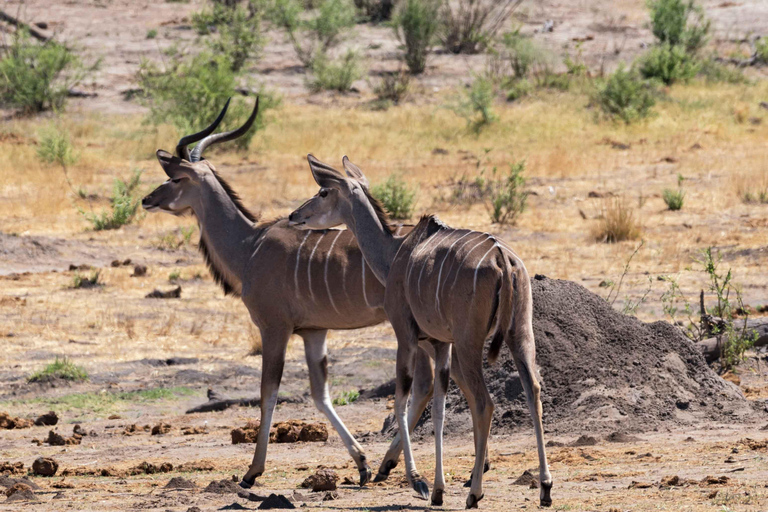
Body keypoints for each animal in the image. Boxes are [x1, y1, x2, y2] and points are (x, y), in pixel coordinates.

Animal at [138, 97, 464, 492]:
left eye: (175, 177)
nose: (147, 199)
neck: (250, 245)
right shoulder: (313, 332)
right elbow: (320, 394)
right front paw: (361, 464)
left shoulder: (273, 329)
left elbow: (268, 395)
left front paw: (252, 472)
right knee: (426, 385)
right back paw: (387, 467)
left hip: (411, 329)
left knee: (423, 384)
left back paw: (397, 468)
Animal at [288, 156, 552, 508]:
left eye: (323, 191)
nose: (294, 215)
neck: (394, 255)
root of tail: (503, 258)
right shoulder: (440, 344)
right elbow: (438, 407)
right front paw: (438, 488)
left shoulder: (406, 334)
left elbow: (403, 399)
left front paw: (419, 482)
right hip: (519, 335)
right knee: (533, 390)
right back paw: (545, 488)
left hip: (470, 342)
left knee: (485, 402)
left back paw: (474, 493)